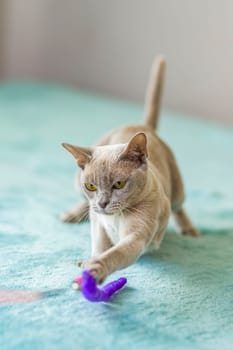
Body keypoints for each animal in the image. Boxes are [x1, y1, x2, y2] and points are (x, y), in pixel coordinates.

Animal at [61, 56, 199, 284]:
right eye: (91, 186)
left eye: (119, 184)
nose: (102, 203)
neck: (114, 217)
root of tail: (142, 125)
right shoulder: (99, 225)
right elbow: (100, 245)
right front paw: (89, 262)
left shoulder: (137, 236)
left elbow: (115, 254)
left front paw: (94, 270)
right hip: (75, 182)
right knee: (85, 205)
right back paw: (72, 214)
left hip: (177, 190)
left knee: (179, 207)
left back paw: (189, 230)